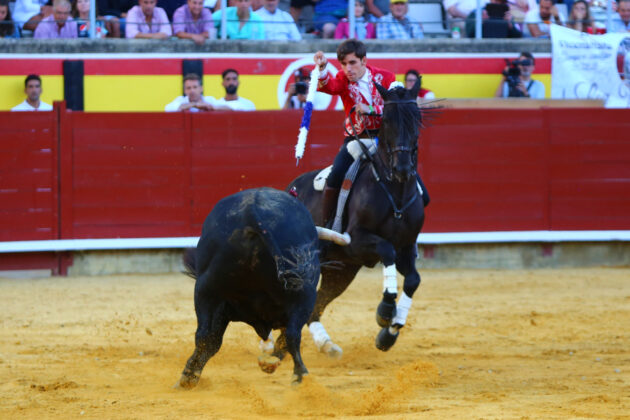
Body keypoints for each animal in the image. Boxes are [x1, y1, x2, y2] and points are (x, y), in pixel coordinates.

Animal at [178, 187, 324, 388]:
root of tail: (252, 211)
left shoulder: (222, 305)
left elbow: (213, 340)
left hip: (206, 287)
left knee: (203, 335)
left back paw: (188, 377)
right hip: (305, 294)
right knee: (293, 334)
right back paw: (299, 374)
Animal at [286, 80, 430, 356]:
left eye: (416, 120)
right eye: (387, 120)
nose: (403, 168)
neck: (395, 192)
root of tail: (291, 188)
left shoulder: (406, 247)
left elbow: (414, 280)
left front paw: (389, 333)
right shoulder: (356, 240)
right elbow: (386, 250)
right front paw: (385, 310)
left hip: (341, 271)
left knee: (314, 306)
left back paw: (320, 345)